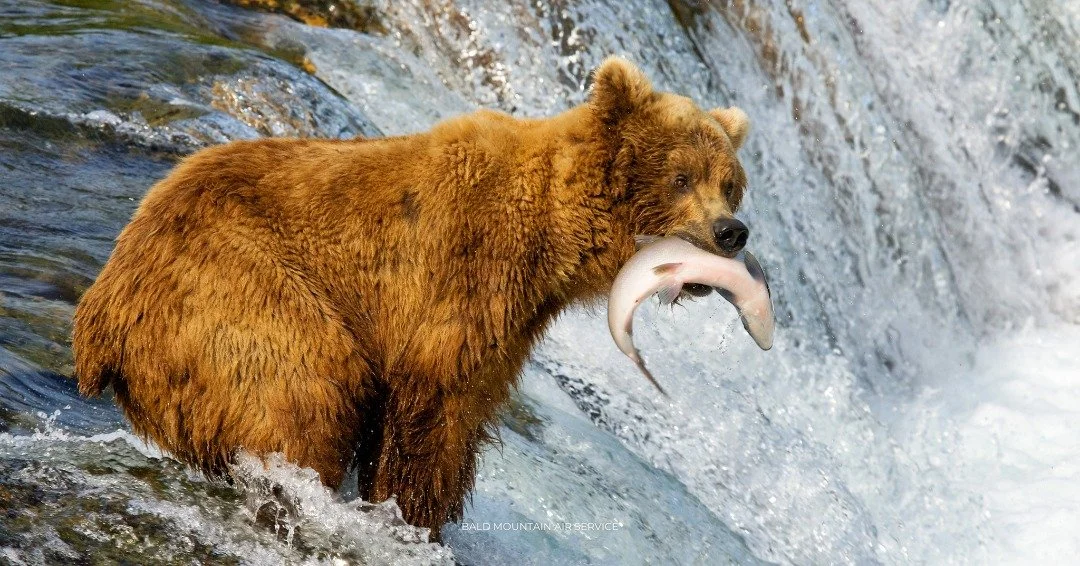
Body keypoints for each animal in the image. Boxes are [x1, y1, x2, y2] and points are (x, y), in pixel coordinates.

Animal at [72, 56, 752, 539]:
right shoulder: (463, 274)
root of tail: (98, 315)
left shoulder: (512, 320)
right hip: (235, 287)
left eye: (730, 184)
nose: (732, 231)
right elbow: (433, 406)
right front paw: (412, 515)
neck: (552, 235)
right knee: (308, 384)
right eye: (681, 177)